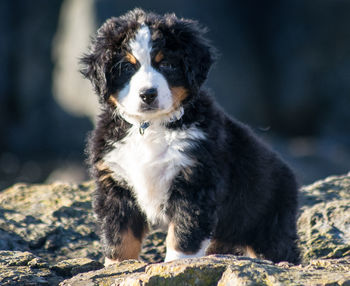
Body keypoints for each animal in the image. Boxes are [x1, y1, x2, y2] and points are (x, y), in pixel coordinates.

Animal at [80, 8, 300, 266]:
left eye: (166, 64)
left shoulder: (195, 182)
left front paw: (176, 264)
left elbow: (183, 233)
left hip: (268, 224)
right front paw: (118, 266)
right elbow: (119, 236)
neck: (151, 127)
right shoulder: (115, 183)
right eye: (126, 67)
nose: (148, 94)